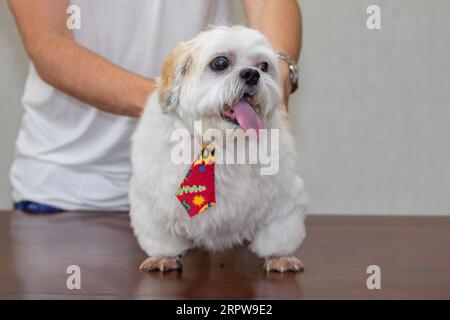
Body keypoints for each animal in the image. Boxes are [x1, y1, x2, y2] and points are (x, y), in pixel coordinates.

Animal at [128, 25, 308, 272]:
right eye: (220, 63)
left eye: (263, 66)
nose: (252, 74)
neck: (220, 141)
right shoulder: (151, 203)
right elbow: (160, 237)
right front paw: (164, 256)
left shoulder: (284, 200)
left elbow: (279, 235)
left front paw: (279, 256)